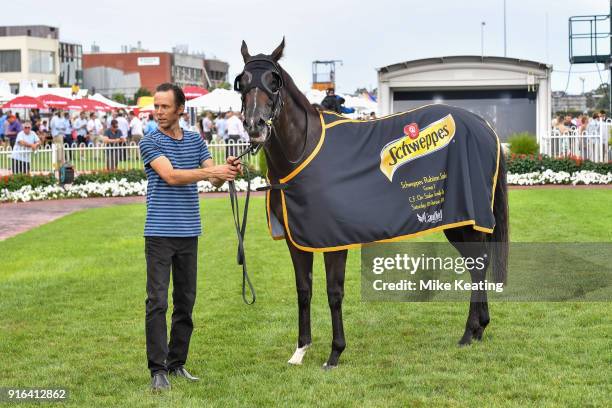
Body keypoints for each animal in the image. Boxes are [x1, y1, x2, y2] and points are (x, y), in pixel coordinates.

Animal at [233, 40, 506, 370]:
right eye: (242, 81)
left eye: (274, 81)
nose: (255, 125)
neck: (303, 151)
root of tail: (483, 125)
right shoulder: (296, 239)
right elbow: (304, 290)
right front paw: (300, 350)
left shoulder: (332, 240)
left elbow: (333, 292)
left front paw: (335, 353)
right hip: (459, 221)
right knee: (475, 265)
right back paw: (478, 329)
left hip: (466, 218)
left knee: (478, 265)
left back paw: (469, 332)